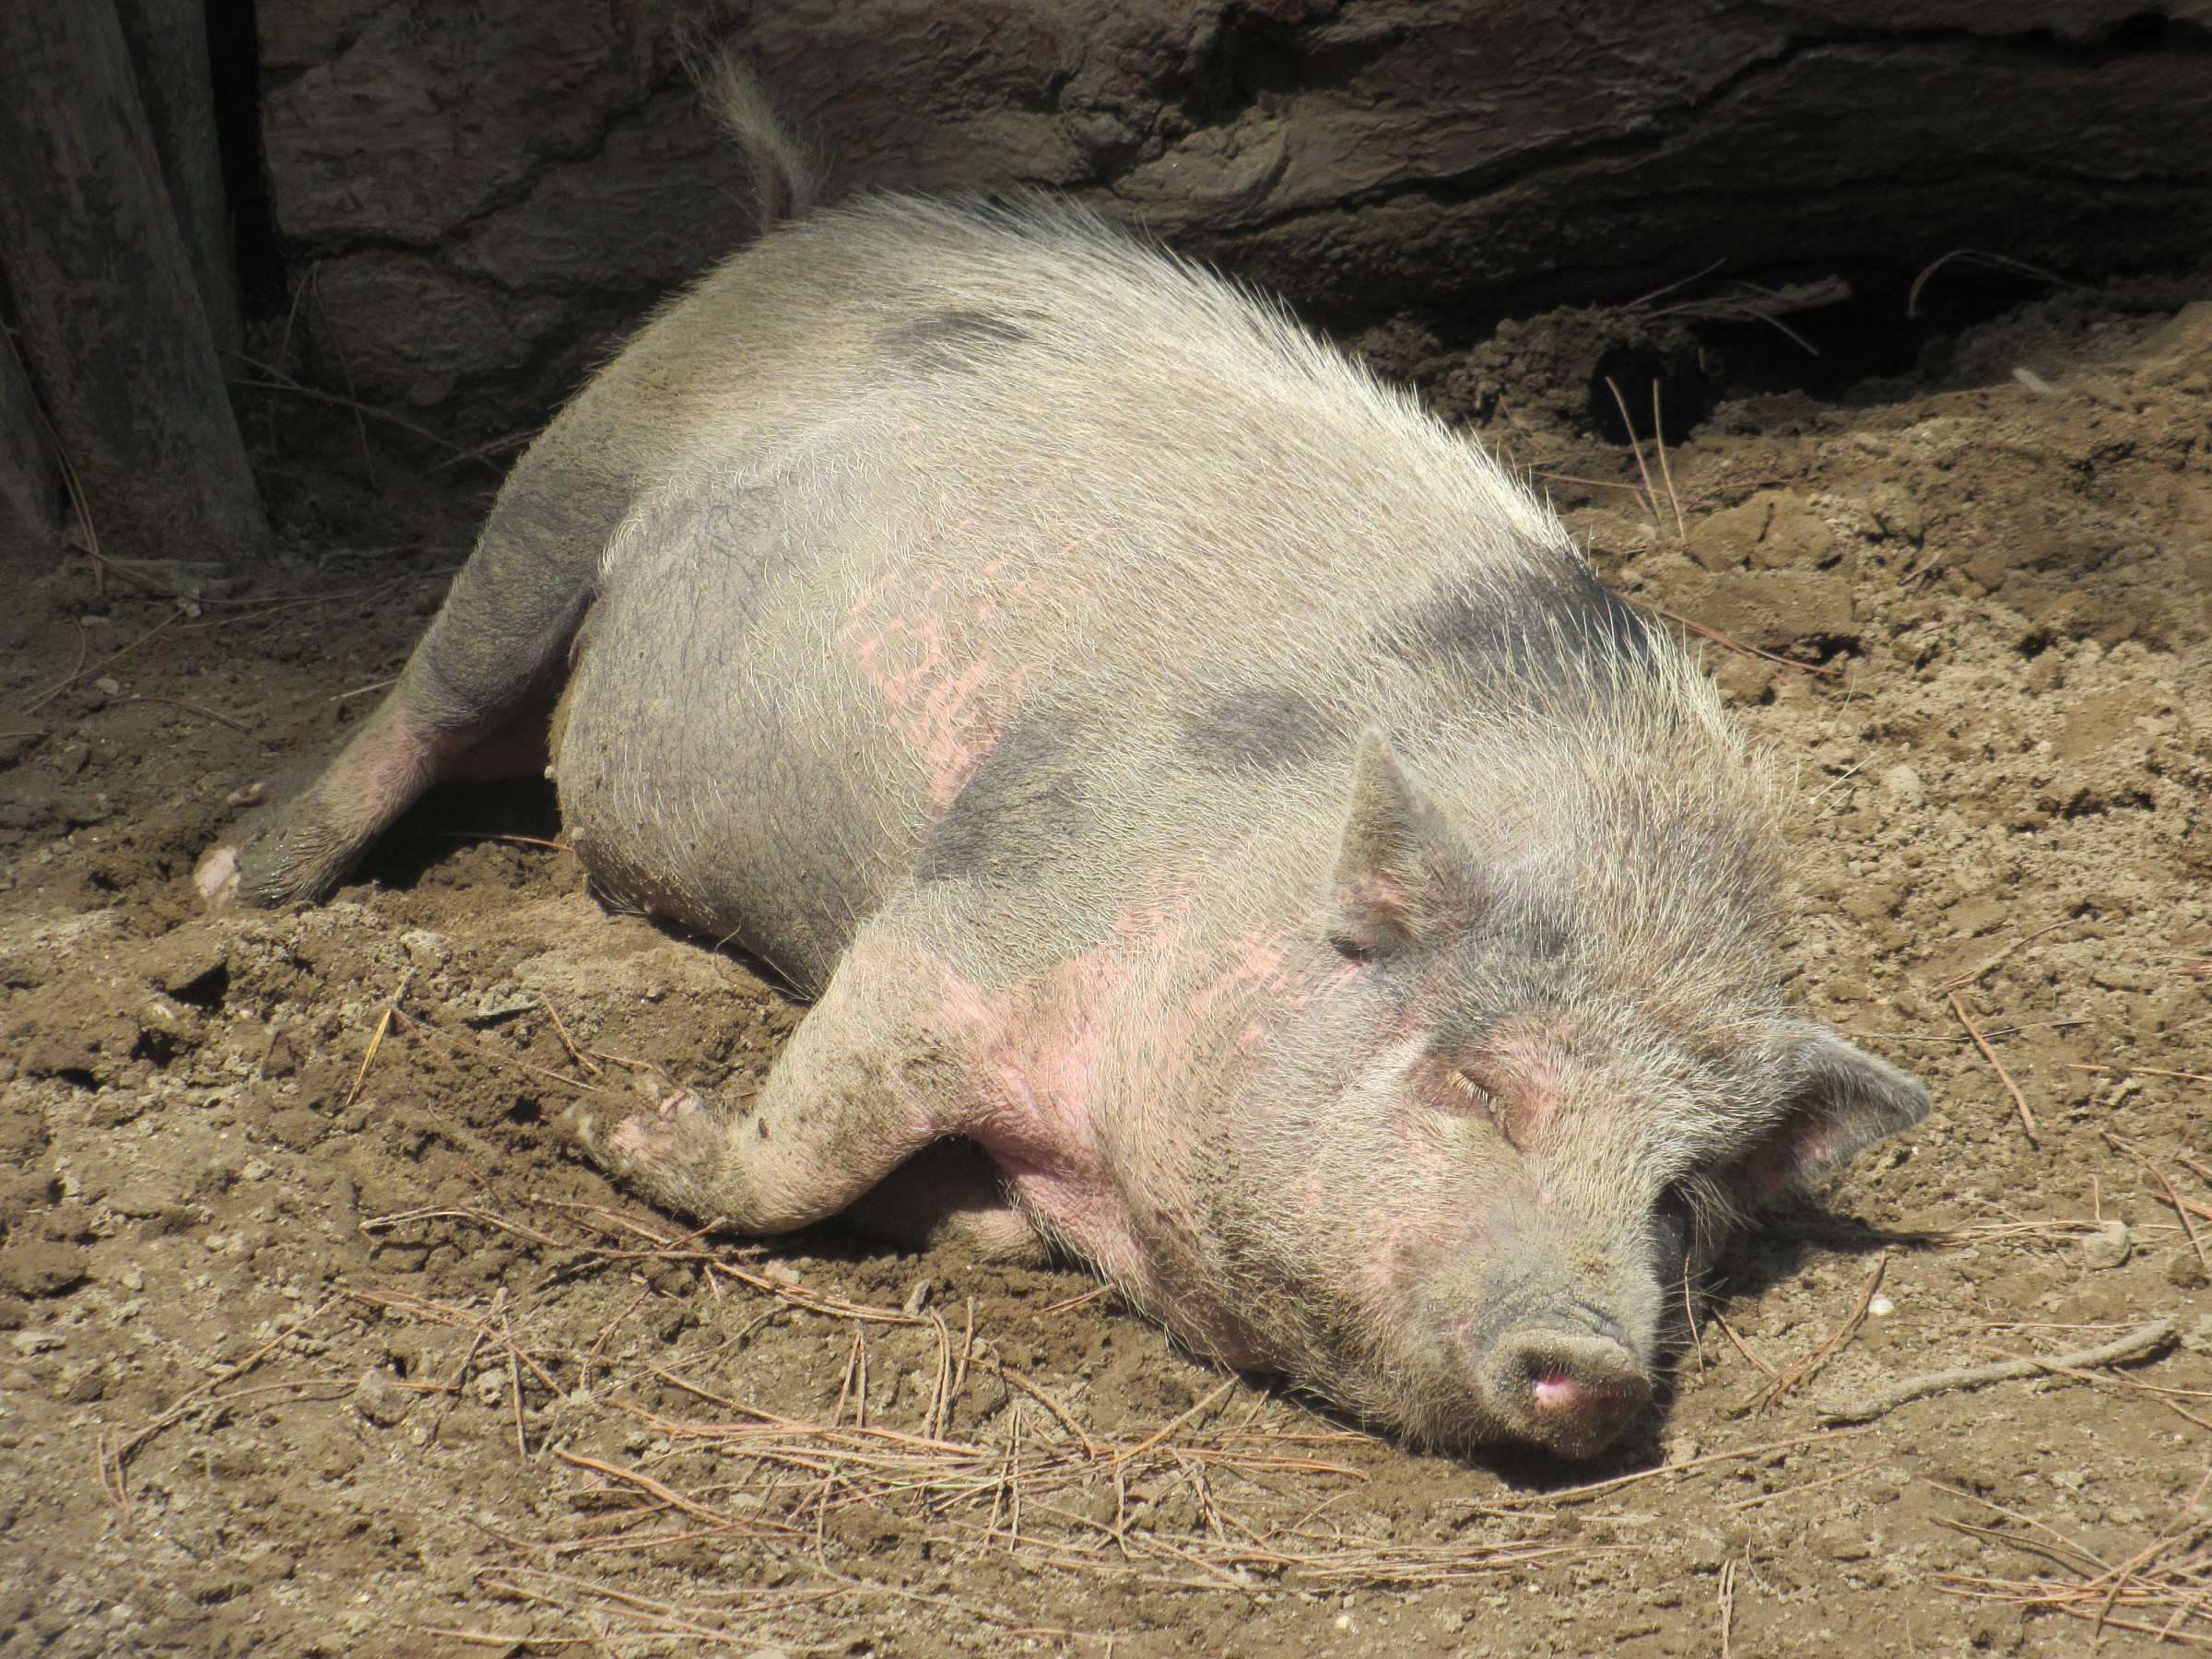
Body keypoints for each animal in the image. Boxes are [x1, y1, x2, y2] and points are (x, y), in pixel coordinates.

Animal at [198, 90, 1928, 1458]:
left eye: (1679, 1199)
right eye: (1480, 1087)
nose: (1598, 1361)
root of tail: (806, 224)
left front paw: (960, 1212)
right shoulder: (974, 914)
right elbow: (814, 1133)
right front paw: (618, 1129)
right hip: (576, 472)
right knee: (434, 688)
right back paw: (233, 883)